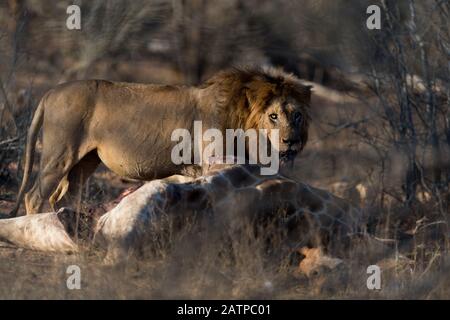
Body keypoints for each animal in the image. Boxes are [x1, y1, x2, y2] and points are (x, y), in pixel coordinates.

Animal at [11, 67, 312, 215]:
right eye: (273, 116)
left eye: (297, 115)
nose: (291, 142)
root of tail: (50, 92)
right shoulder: (214, 165)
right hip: (60, 154)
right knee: (34, 196)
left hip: (84, 162)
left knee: (62, 197)